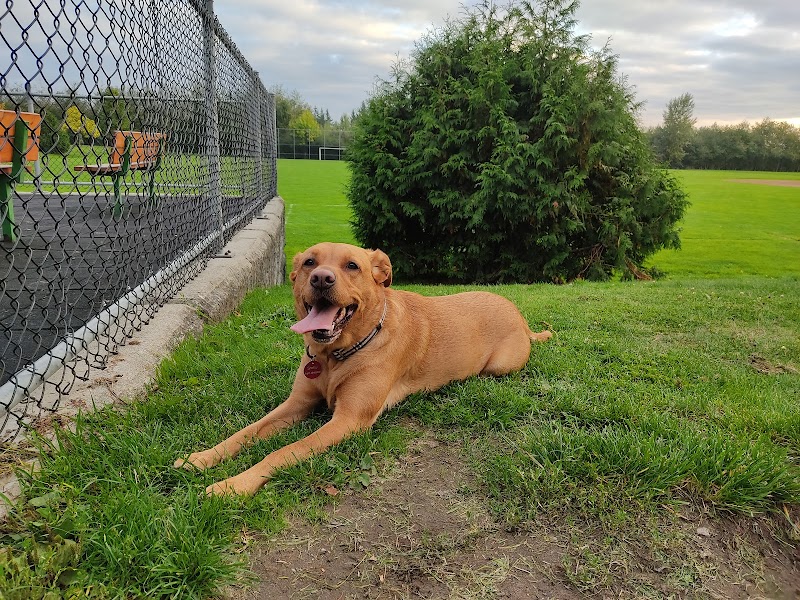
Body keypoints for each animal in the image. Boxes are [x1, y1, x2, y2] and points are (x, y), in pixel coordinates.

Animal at [175, 242, 552, 496]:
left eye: (352, 266)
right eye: (310, 262)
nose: (321, 278)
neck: (336, 355)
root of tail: (520, 316)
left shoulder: (349, 420)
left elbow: (283, 451)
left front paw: (232, 485)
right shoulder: (296, 403)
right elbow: (244, 433)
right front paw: (201, 458)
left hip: (500, 366)